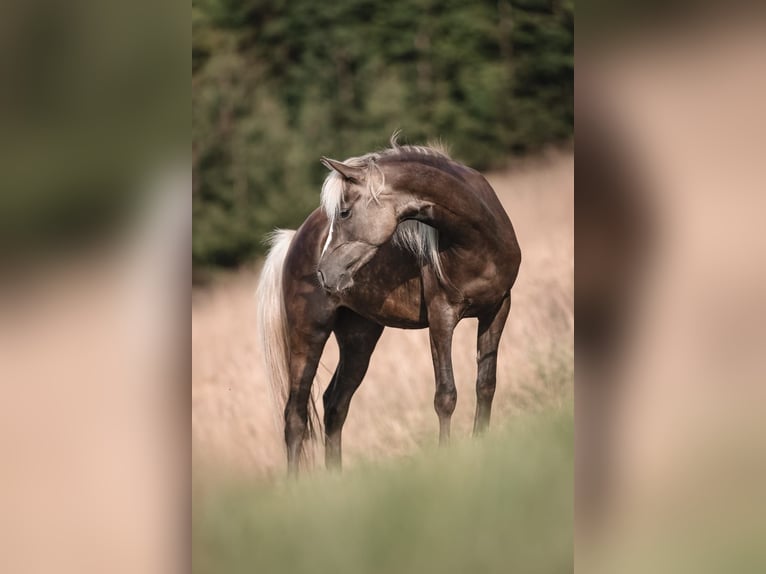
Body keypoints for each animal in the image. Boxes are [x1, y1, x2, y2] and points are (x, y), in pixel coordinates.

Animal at [256, 137, 520, 474]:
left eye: (344, 213)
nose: (324, 273)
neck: (476, 239)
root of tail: (294, 240)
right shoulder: (442, 317)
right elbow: (445, 395)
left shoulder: (497, 308)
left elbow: (485, 384)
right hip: (308, 337)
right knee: (295, 417)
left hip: (359, 338)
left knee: (335, 405)